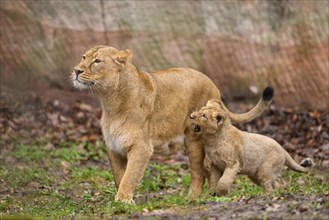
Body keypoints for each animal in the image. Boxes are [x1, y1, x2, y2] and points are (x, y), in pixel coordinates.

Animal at [70, 45, 272, 204]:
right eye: (83, 57)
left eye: (97, 61)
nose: (76, 71)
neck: (110, 101)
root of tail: (213, 85)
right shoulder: (114, 146)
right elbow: (120, 176)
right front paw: (123, 199)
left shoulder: (141, 146)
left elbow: (130, 175)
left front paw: (123, 200)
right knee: (207, 170)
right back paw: (211, 194)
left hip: (194, 140)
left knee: (198, 174)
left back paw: (192, 198)